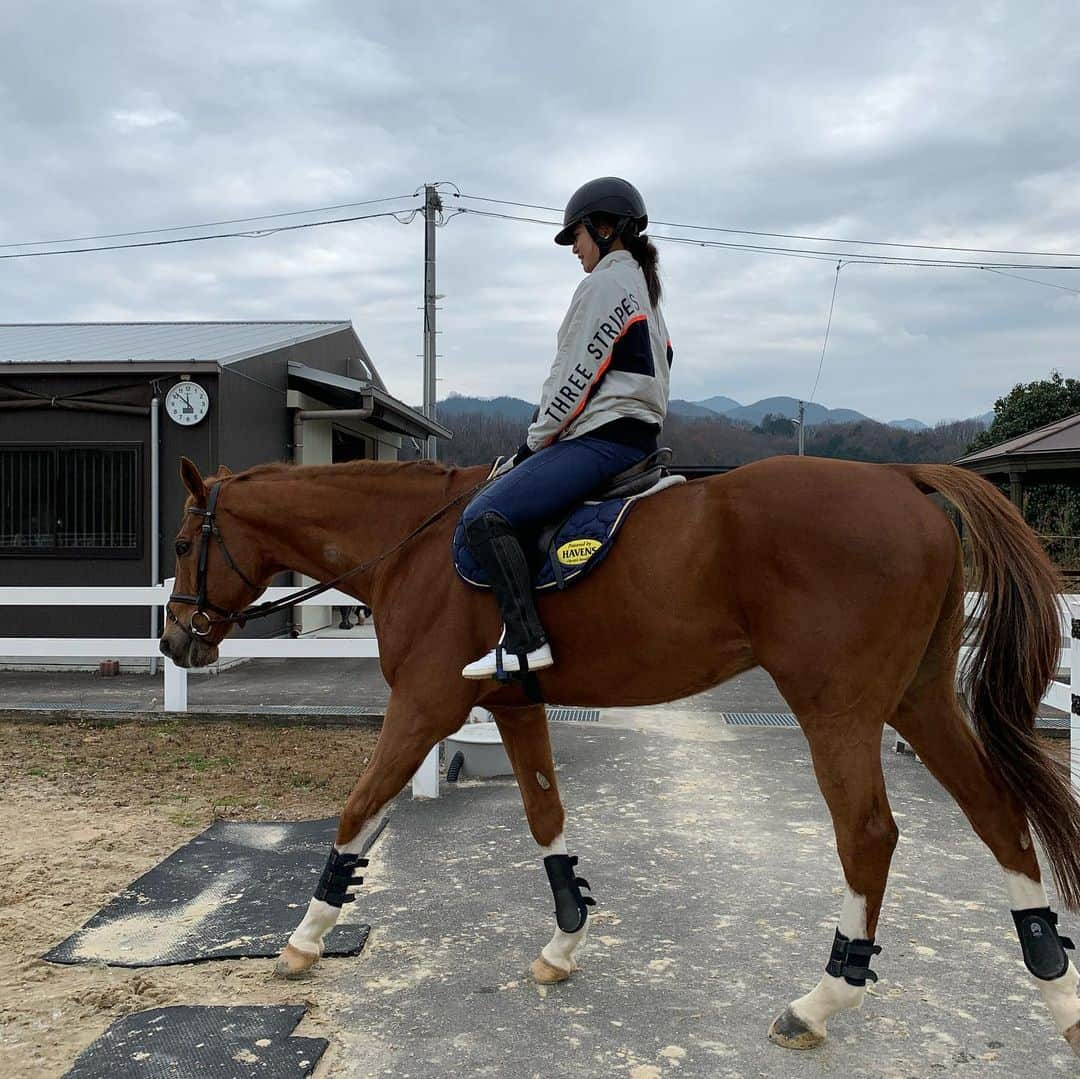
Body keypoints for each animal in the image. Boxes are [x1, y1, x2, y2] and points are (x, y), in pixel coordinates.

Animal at [157, 453, 1080, 1054]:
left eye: (181, 544)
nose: (175, 641)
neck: (412, 544)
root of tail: (903, 477)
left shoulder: (424, 704)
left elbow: (357, 807)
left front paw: (304, 938)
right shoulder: (513, 705)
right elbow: (545, 815)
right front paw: (565, 941)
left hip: (840, 710)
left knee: (868, 836)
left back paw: (819, 1000)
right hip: (920, 700)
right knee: (995, 810)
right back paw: (1056, 984)